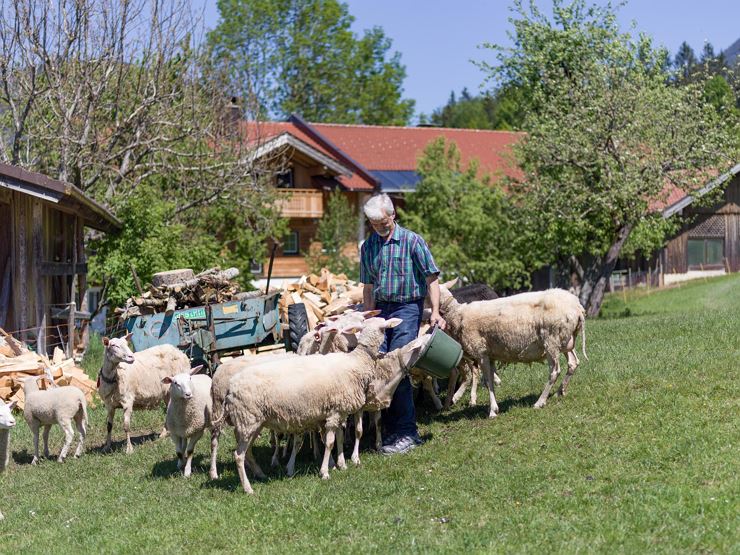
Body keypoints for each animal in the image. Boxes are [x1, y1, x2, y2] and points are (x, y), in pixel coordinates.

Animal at [224, 317, 411, 493]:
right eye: (384, 328)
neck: (357, 360)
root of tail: (231, 388)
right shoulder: (334, 413)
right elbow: (329, 443)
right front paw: (325, 472)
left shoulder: (337, 412)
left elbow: (339, 438)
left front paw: (340, 465)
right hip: (248, 420)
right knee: (239, 455)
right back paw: (248, 488)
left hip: (252, 423)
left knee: (247, 452)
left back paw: (260, 474)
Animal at [438, 285, 587, 418]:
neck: (458, 314)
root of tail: (577, 307)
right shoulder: (490, 355)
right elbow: (490, 380)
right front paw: (493, 406)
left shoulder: (481, 352)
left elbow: (488, 381)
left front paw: (492, 411)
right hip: (566, 341)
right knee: (573, 362)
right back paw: (560, 392)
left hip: (551, 341)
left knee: (555, 371)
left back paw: (540, 402)